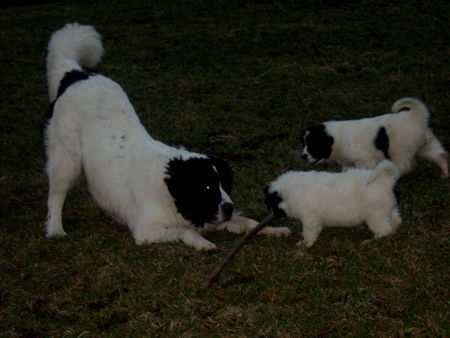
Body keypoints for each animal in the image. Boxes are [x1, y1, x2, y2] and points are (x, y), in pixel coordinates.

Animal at [44, 23, 290, 251]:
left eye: (224, 185)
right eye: (206, 187)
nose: (228, 207)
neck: (171, 190)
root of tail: (76, 75)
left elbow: (249, 222)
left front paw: (273, 229)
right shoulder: (146, 230)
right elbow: (186, 231)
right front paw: (202, 243)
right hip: (68, 158)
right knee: (56, 194)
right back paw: (55, 228)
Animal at [264, 160, 400, 247]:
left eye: (272, 205)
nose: (273, 216)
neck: (291, 192)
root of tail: (385, 181)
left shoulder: (310, 219)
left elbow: (309, 233)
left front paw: (305, 244)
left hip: (375, 216)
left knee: (384, 230)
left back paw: (371, 241)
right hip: (387, 210)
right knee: (395, 220)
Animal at [300, 97, 448, 177]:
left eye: (313, 146)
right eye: (304, 144)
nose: (303, 156)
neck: (336, 139)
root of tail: (414, 117)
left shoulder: (366, 160)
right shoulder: (348, 163)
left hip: (399, 150)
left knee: (404, 166)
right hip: (426, 145)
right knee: (441, 155)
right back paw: (446, 174)